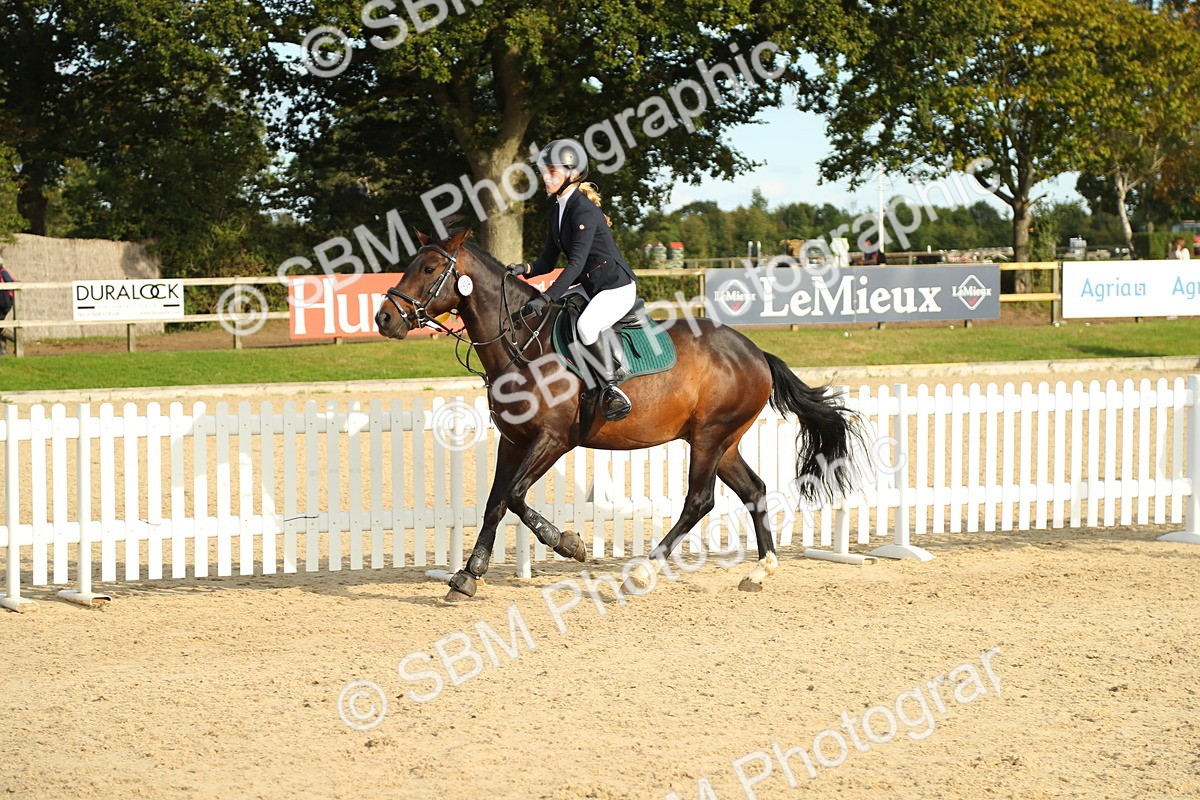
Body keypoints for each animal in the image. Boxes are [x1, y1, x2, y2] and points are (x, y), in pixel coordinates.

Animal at [375, 229, 864, 601]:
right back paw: (761, 570)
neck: (524, 343)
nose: (384, 318)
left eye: (430, 270)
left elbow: (514, 497)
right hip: (722, 442)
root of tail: (755, 352)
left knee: (699, 500)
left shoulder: (552, 441)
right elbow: (495, 503)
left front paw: (569, 544)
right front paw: (467, 575)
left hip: (710, 437)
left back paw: (644, 571)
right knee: (754, 490)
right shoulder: (512, 440)